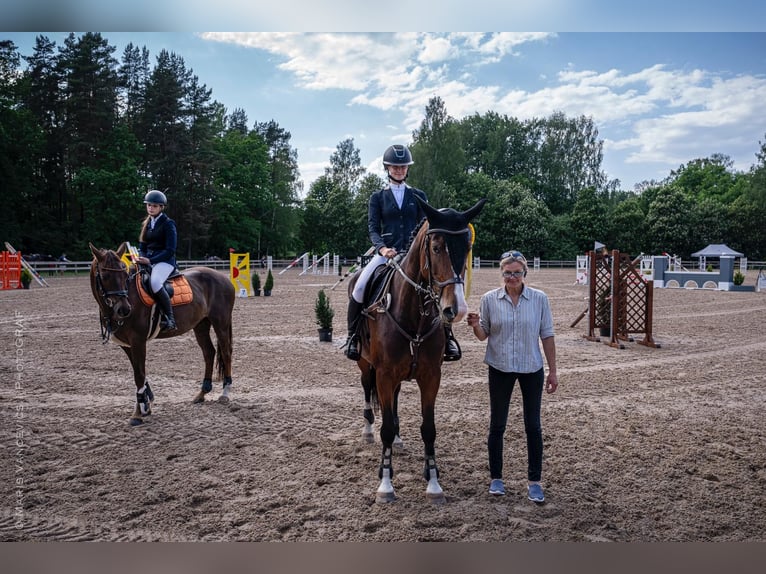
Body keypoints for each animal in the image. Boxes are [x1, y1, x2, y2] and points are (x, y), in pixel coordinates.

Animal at [89, 241, 236, 426]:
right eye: (105, 275)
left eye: (124, 273)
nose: (124, 309)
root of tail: (223, 277)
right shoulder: (127, 345)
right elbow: (138, 371)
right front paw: (146, 402)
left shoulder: (138, 341)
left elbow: (139, 375)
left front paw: (138, 413)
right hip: (201, 325)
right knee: (209, 352)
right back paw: (202, 393)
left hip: (220, 323)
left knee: (226, 352)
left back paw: (225, 393)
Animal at [350, 198, 486, 504]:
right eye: (436, 247)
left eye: (467, 248)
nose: (455, 309)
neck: (415, 316)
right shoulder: (384, 374)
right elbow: (386, 429)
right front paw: (385, 484)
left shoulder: (431, 376)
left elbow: (428, 428)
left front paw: (433, 483)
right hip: (365, 364)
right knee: (367, 392)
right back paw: (367, 431)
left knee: (395, 400)